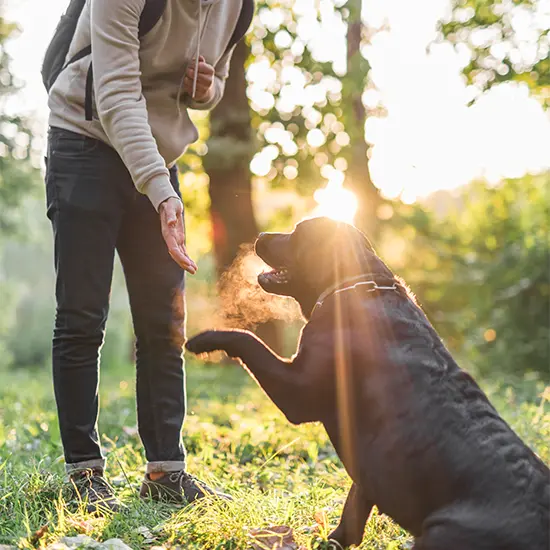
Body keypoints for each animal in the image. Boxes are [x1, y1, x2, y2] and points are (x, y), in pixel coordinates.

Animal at [187, 218, 550, 548]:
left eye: (298, 233)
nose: (261, 235)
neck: (355, 284)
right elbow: (353, 509)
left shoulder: (298, 393)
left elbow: (247, 339)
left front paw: (205, 339)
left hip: (439, 532)